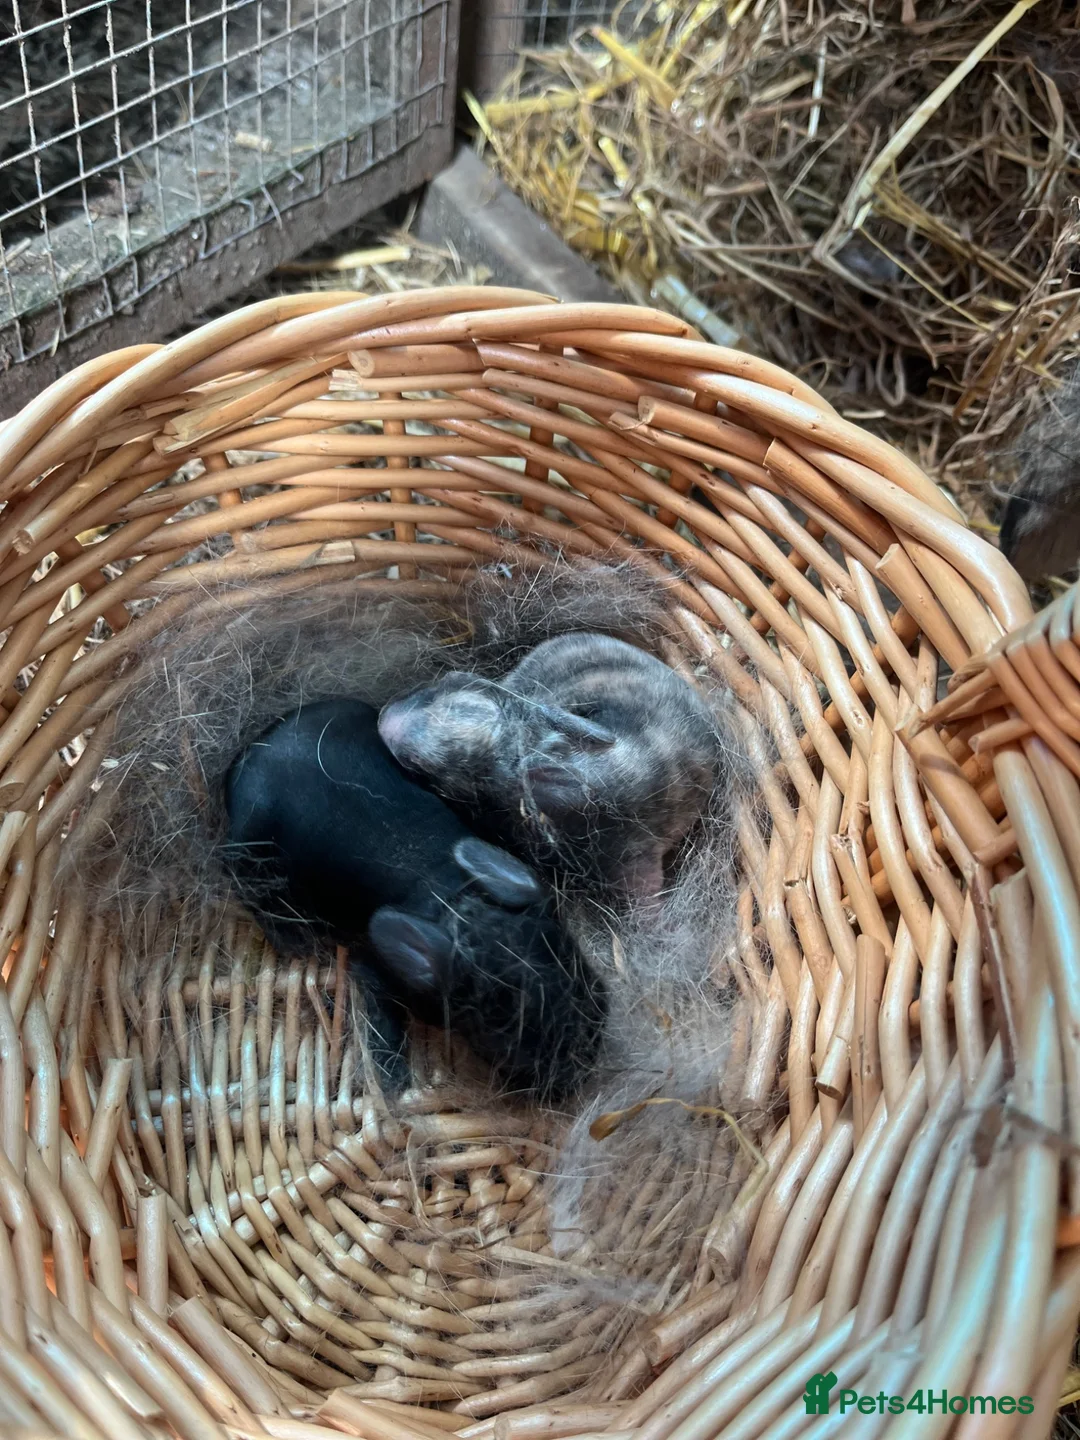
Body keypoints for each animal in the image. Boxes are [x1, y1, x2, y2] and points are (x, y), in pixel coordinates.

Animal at [224, 698, 606, 1101]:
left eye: (587, 983)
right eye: (502, 1040)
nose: (580, 1072)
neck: (453, 900)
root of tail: (245, 754)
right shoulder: (372, 966)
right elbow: (382, 1020)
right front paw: (394, 1085)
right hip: (247, 853)